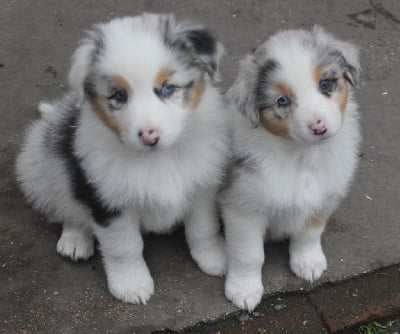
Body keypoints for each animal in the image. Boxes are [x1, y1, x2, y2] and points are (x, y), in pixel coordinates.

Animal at [15, 13, 230, 306]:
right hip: (41, 162)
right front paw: (131, 285)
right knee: (64, 201)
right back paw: (75, 239)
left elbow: (203, 229)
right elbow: (125, 247)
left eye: (167, 88)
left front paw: (216, 259)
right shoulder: (108, 199)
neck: (156, 158)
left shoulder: (202, 187)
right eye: (119, 95)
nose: (149, 136)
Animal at [220, 26, 360, 310]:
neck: (302, 155)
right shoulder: (242, 207)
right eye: (283, 101)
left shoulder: (324, 196)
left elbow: (310, 231)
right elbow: (249, 254)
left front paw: (308, 262)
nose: (319, 127)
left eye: (326, 84)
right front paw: (244, 290)